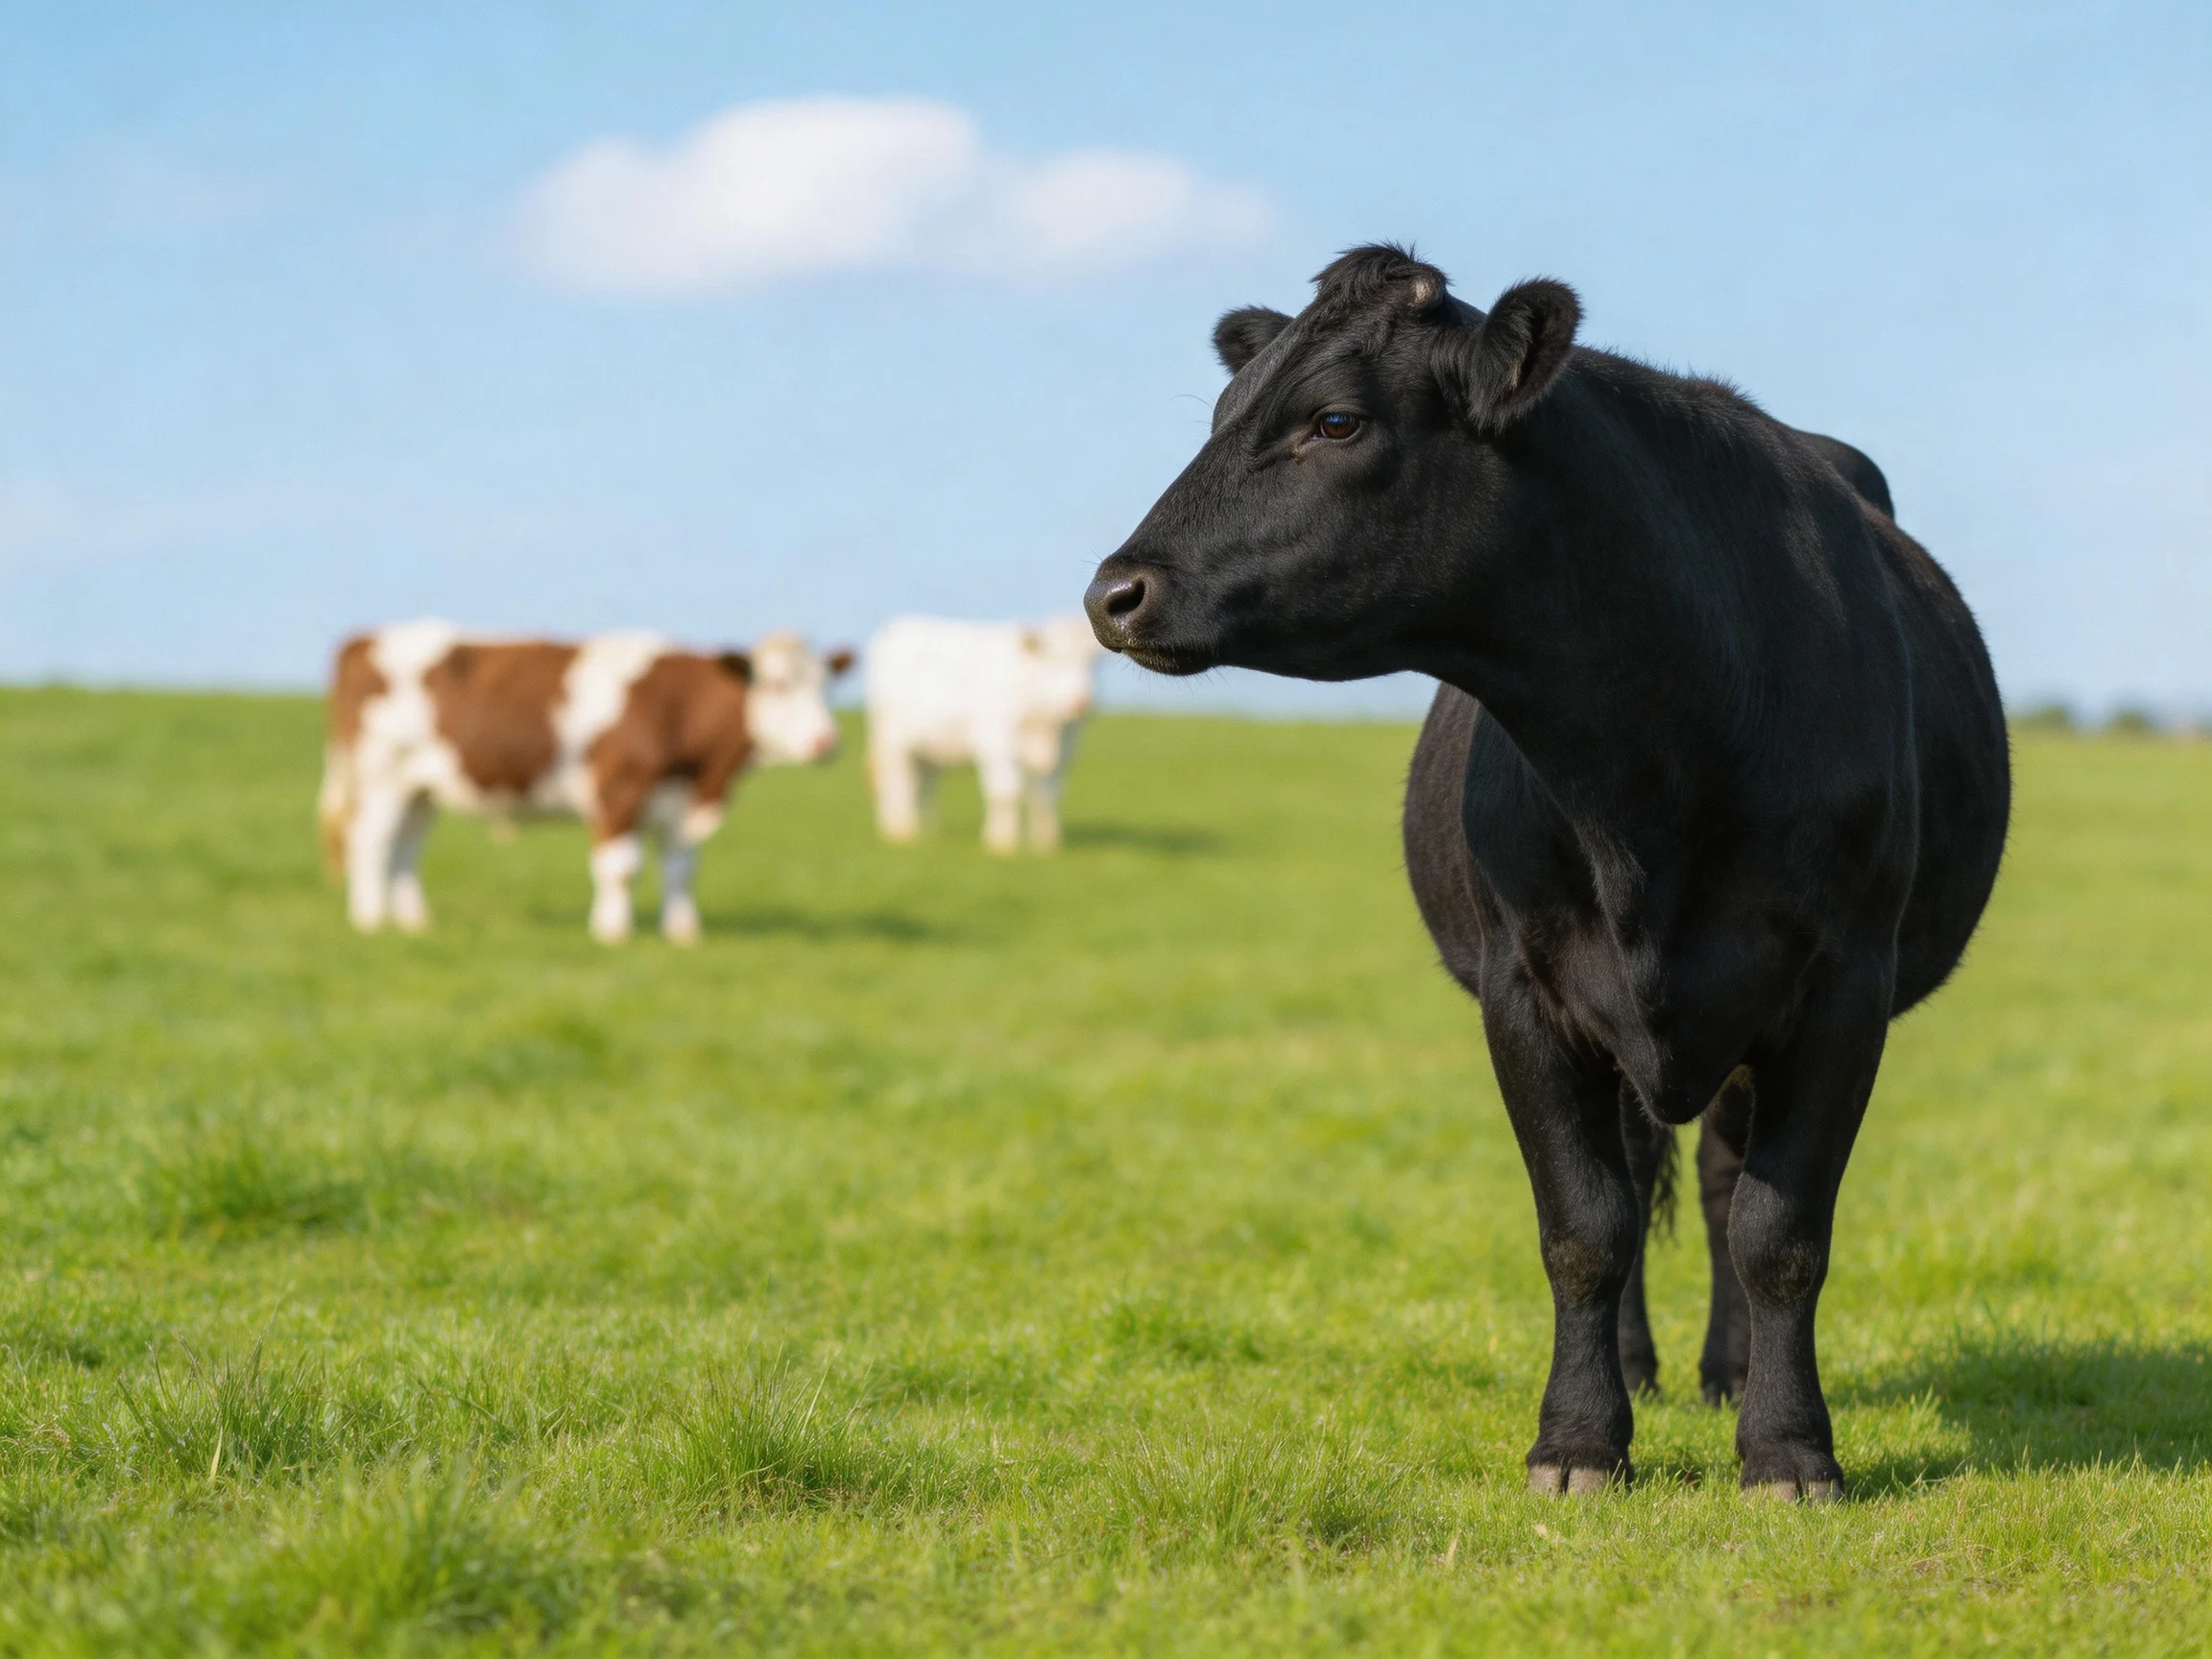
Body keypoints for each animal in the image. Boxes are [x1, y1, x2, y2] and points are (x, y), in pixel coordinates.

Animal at [318, 620, 852, 943]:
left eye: (826, 686)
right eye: (777, 685)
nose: (827, 742)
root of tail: (363, 638)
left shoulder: (676, 803)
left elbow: (682, 869)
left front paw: (683, 933)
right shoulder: (619, 792)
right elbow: (621, 867)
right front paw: (613, 932)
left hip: (420, 790)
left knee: (405, 847)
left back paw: (413, 922)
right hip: (382, 777)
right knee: (370, 840)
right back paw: (369, 920)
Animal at [864, 616, 1104, 853]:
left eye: (1091, 663)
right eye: (1054, 659)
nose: (1081, 702)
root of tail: (901, 624)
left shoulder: (1065, 751)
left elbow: (1047, 796)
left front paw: (1046, 843)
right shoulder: (999, 745)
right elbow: (1006, 793)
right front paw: (1003, 842)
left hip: (927, 749)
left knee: (923, 784)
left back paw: (928, 831)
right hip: (893, 740)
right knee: (898, 781)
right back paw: (901, 830)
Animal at [1085, 246, 2009, 1502]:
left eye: (1335, 420)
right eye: (1225, 410)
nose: (1113, 593)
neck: (1645, 781)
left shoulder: (1840, 985)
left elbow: (1780, 1233)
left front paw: (1786, 1449)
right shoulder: (1525, 988)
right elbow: (1583, 1225)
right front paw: (1578, 1442)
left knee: (1718, 1179)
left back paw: (1724, 1374)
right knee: (1638, 1170)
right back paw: (1642, 1370)